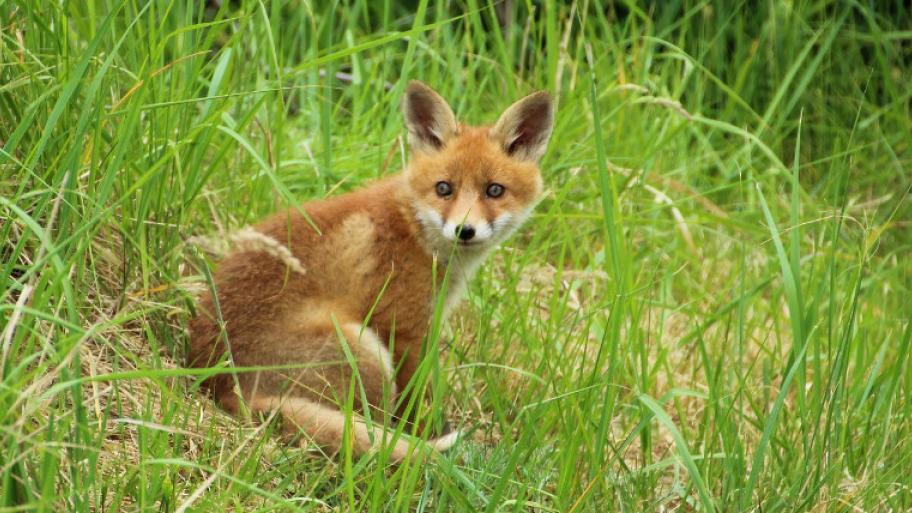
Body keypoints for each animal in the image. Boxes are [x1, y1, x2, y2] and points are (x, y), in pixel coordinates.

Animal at [188, 81, 555, 461]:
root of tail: (224, 386)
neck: (415, 228)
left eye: (494, 190)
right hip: (366, 350)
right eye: (444, 188)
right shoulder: (403, 329)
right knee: (372, 422)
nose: (464, 230)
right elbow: (414, 401)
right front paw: (424, 433)